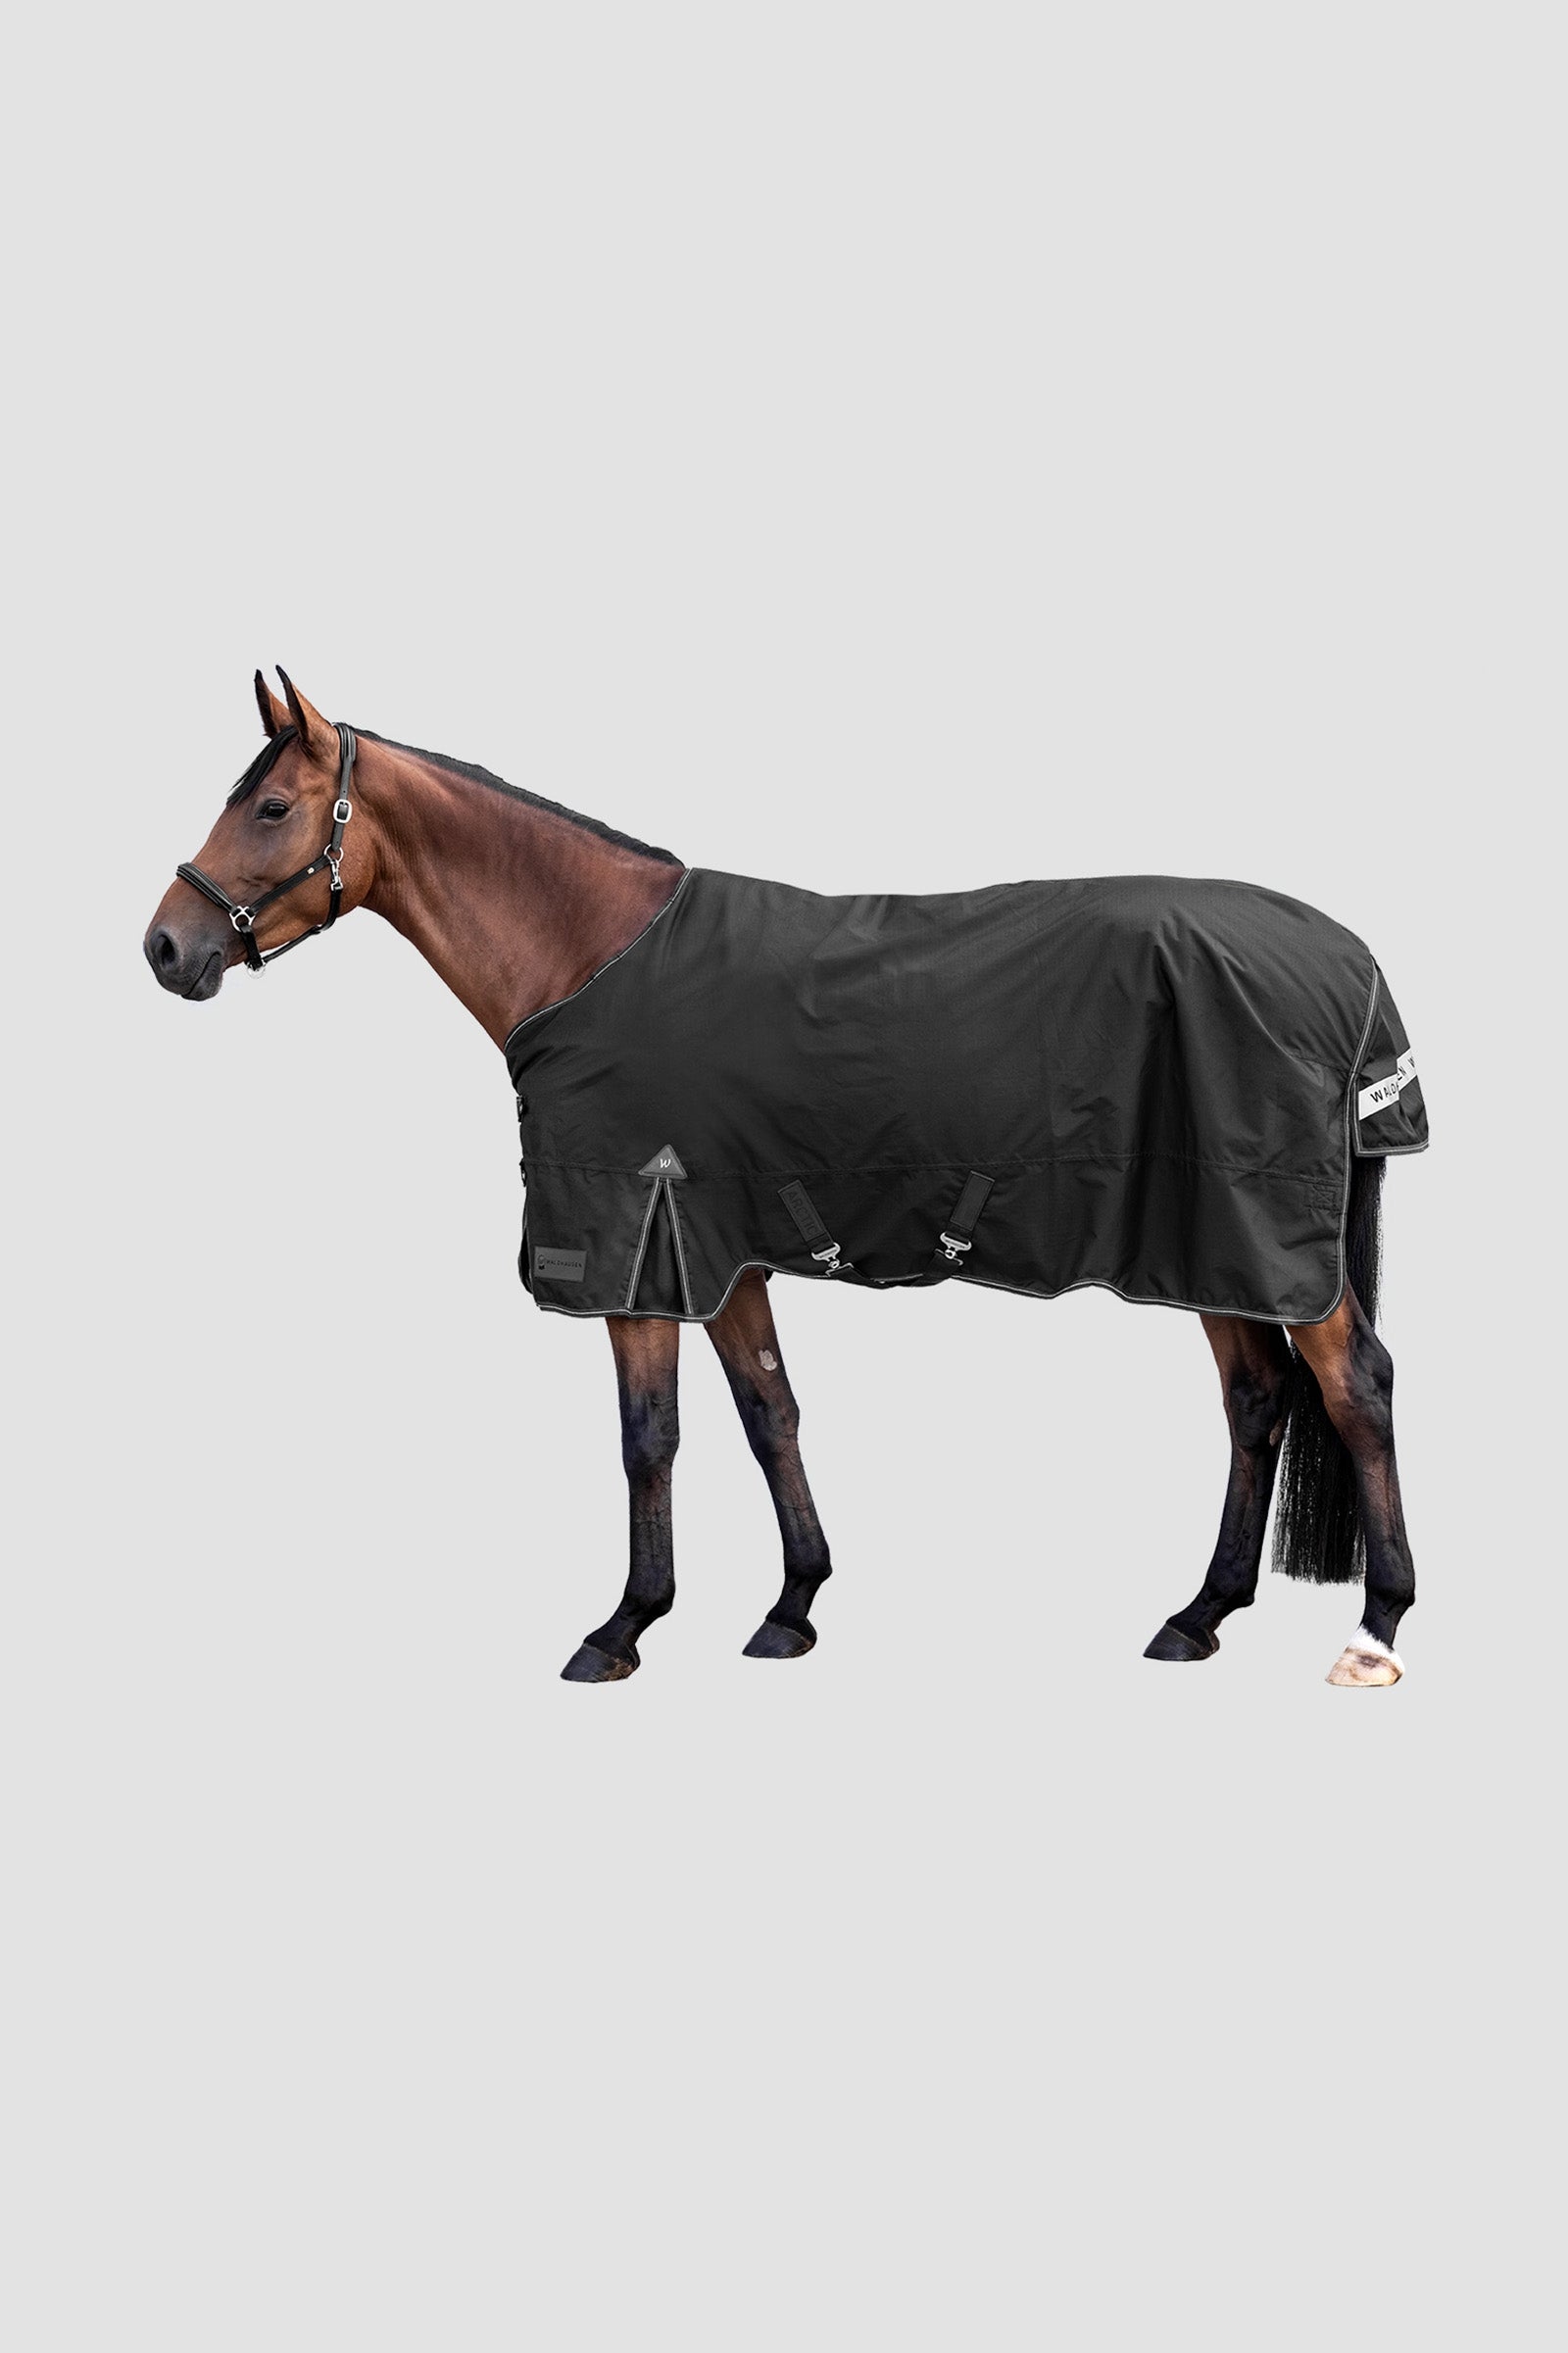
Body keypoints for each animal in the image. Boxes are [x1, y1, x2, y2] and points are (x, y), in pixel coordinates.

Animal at [145, 669, 1421, 1689]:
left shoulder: (641, 1252)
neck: (587, 955)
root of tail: (1345, 959)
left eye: (269, 806)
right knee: (1256, 1401)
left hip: (1260, 1241)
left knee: (1354, 1387)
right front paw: (793, 1606)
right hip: (1214, 1244)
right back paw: (1198, 1615)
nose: (164, 948)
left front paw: (623, 1628)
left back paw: (1376, 1626)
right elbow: (770, 1412)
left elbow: (649, 1437)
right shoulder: (725, 1250)